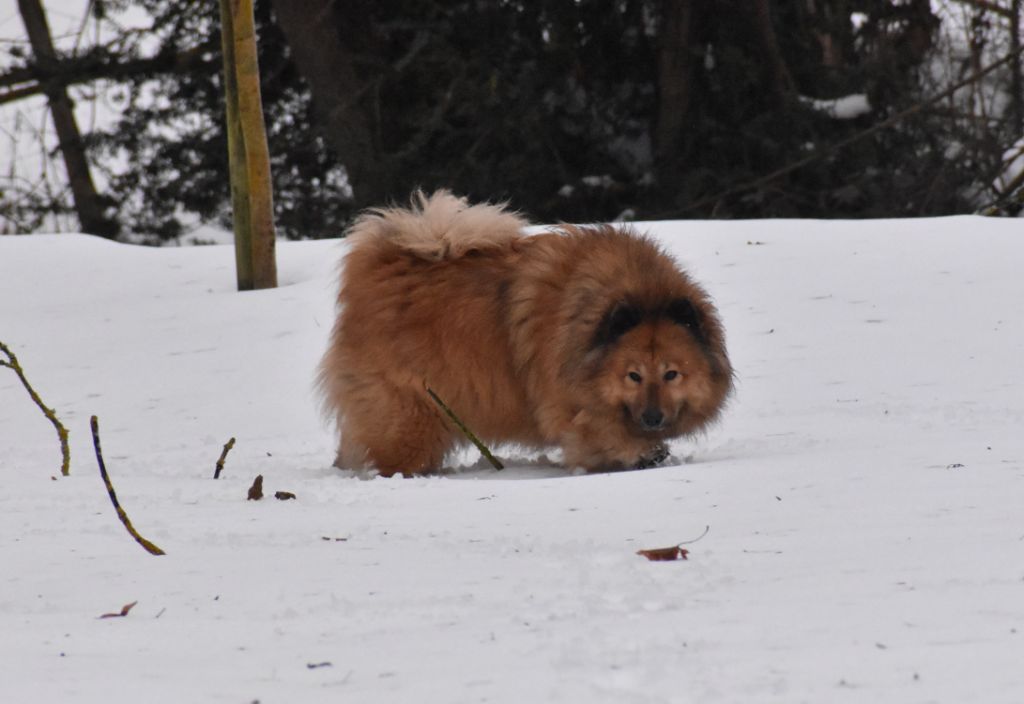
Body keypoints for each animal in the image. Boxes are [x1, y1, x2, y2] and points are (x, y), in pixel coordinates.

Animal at [318, 191, 732, 476]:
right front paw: (644, 452)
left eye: (671, 374)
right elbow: (603, 433)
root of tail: (382, 264)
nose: (652, 419)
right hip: (412, 415)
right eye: (633, 376)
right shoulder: (572, 407)